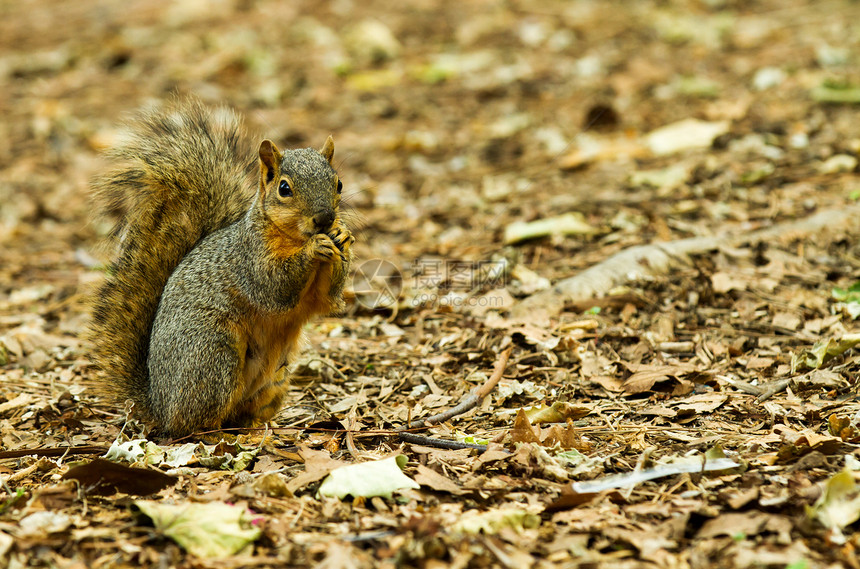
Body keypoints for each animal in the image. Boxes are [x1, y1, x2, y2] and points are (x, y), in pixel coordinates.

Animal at [89, 98, 354, 434]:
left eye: (339, 183)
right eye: (284, 188)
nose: (325, 219)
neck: (293, 237)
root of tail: (159, 406)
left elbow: (327, 299)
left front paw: (342, 238)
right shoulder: (249, 259)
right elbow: (275, 287)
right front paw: (314, 248)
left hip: (276, 380)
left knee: (240, 413)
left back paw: (258, 428)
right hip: (213, 355)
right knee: (195, 422)